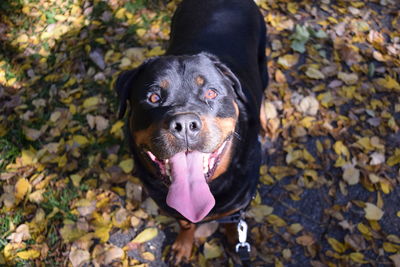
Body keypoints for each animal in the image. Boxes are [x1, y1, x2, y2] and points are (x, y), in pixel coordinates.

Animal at [114, 0, 268, 264]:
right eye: (153, 97)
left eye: (211, 93)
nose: (185, 124)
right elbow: (186, 223)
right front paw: (183, 246)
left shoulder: (239, 203)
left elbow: (233, 223)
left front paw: (233, 241)